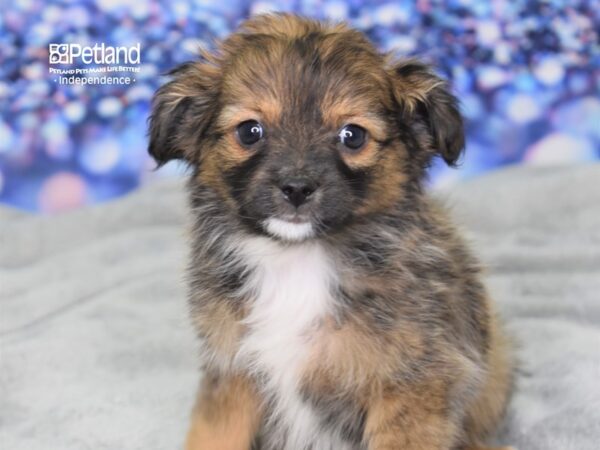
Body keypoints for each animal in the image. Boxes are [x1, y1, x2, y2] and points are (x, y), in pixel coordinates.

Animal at [148, 14, 512, 450]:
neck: (297, 260)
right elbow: (213, 436)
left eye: (352, 136)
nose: (297, 187)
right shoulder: (232, 375)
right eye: (250, 131)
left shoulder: (414, 386)